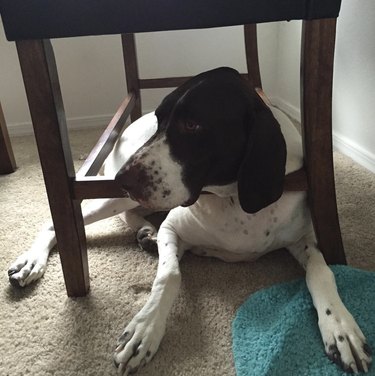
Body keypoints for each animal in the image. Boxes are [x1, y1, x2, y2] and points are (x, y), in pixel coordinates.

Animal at [7, 67, 372, 374]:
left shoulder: (304, 238)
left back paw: (146, 233)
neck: (231, 198)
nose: (124, 178)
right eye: (160, 120)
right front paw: (145, 329)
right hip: (114, 197)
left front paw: (340, 327)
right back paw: (31, 262)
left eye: (193, 125)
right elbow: (169, 275)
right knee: (57, 223)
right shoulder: (173, 227)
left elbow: (322, 272)